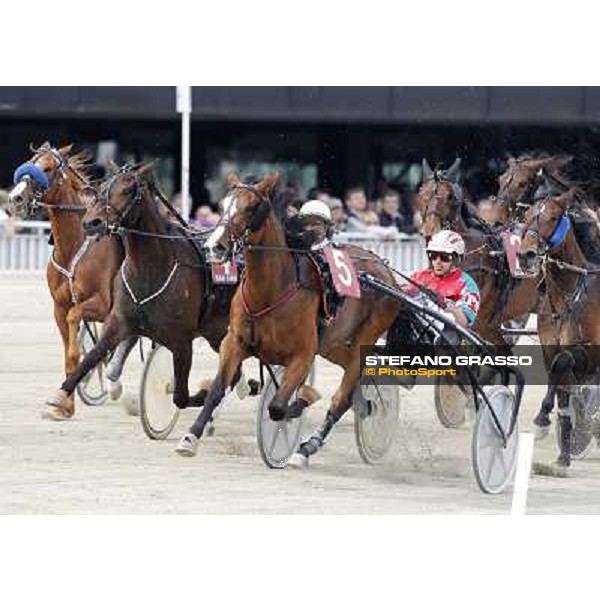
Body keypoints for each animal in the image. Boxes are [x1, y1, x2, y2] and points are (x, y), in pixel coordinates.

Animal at [8, 143, 132, 420]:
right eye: (29, 161)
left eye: (46, 168)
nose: (15, 198)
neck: (75, 246)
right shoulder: (59, 307)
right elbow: (69, 354)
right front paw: (64, 405)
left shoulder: (102, 305)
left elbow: (77, 326)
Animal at [176, 171, 406, 462]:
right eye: (222, 204)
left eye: (251, 207)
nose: (215, 246)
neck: (270, 291)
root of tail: (387, 274)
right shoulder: (235, 342)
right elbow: (217, 390)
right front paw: (190, 436)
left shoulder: (302, 355)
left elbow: (277, 406)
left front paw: (302, 400)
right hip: (334, 344)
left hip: (364, 340)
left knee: (343, 395)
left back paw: (309, 446)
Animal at [516, 190, 600, 476]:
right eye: (527, 216)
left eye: (553, 217)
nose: (526, 255)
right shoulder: (549, 346)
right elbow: (560, 379)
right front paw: (563, 457)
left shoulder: (591, 354)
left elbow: (561, 363)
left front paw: (543, 418)